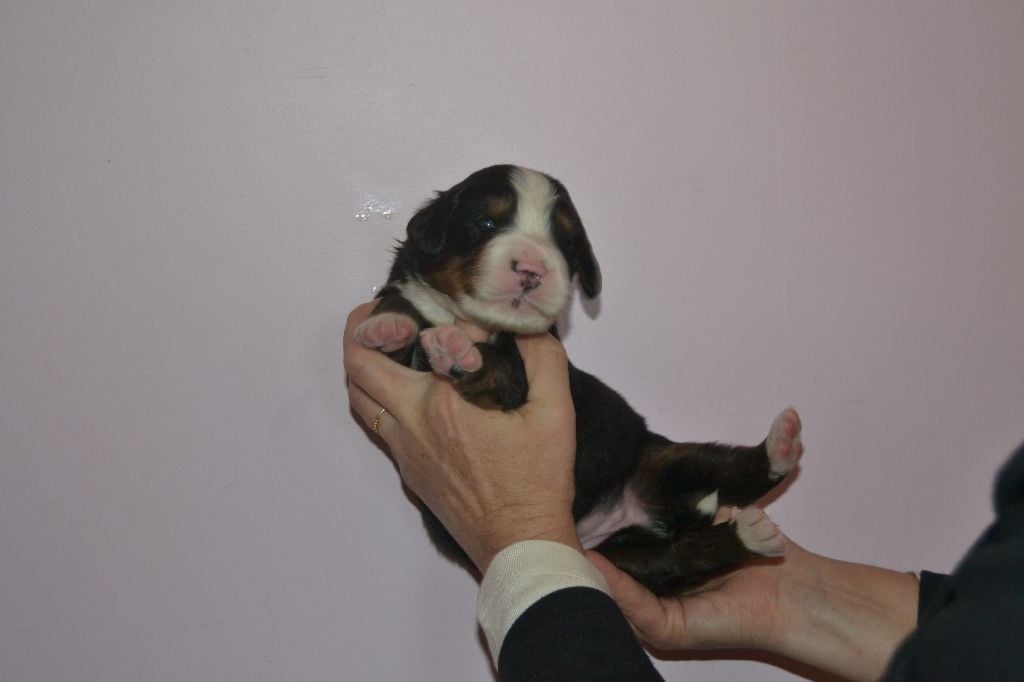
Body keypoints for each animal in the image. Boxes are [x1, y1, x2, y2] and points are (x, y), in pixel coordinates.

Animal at [356, 164, 803, 594]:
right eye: (486, 223)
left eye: (566, 242)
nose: (533, 269)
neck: (470, 321)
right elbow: (401, 306)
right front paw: (389, 326)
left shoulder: (523, 369)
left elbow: (499, 371)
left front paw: (458, 352)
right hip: (631, 558)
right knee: (679, 558)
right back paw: (752, 531)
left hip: (658, 455)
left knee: (733, 471)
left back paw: (779, 452)